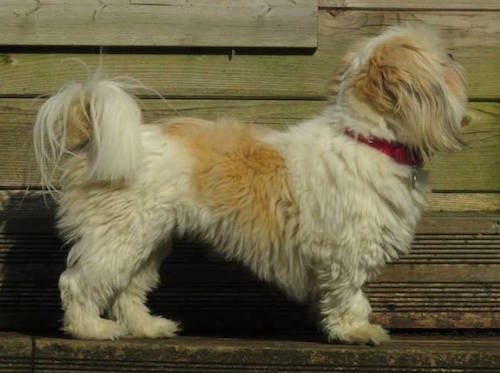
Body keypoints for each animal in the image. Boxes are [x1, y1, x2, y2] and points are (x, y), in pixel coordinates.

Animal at [33, 24, 466, 342]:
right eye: (443, 59)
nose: (454, 57)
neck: (366, 138)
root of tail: (92, 139)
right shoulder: (345, 252)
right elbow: (350, 296)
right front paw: (356, 331)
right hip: (117, 238)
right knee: (77, 282)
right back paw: (90, 329)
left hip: (146, 241)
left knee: (128, 290)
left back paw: (145, 327)